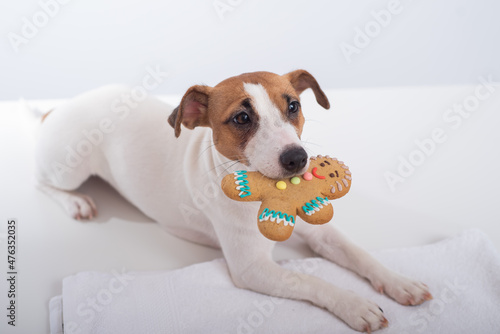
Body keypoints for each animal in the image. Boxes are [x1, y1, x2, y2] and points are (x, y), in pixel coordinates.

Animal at [36, 70, 434, 332]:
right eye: (242, 118)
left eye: (293, 106)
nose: (298, 158)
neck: (275, 192)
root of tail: (59, 108)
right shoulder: (252, 268)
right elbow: (310, 281)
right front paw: (354, 305)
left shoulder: (322, 232)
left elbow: (359, 254)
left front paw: (400, 282)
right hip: (68, 167)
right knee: (41, 181)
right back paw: (75, 202)